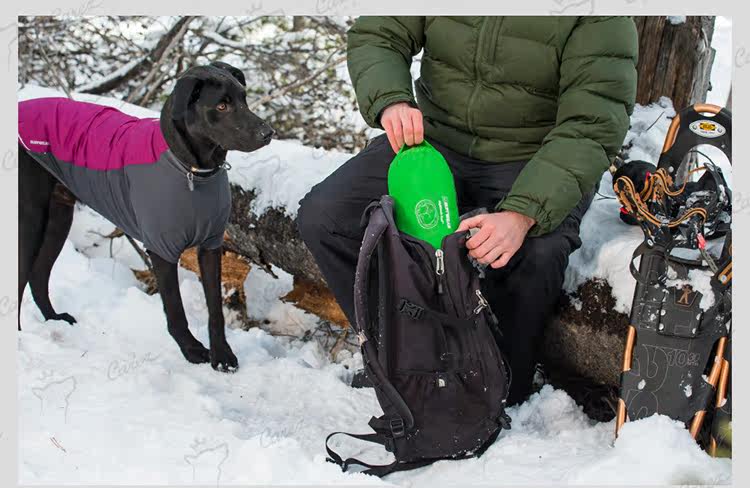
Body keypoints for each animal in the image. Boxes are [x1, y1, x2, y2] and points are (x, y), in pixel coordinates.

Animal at [18, 62, 274, 372]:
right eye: (222, 106)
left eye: (243, 99)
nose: (268, 133)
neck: (191, 170)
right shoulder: (161, 247)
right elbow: (175, 309)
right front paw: (192, 350)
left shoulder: (211, 245)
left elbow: (216, 309)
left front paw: (222, 355)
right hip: (29, 218)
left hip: (58, 216)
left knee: (38, 274)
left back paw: (54, 318)